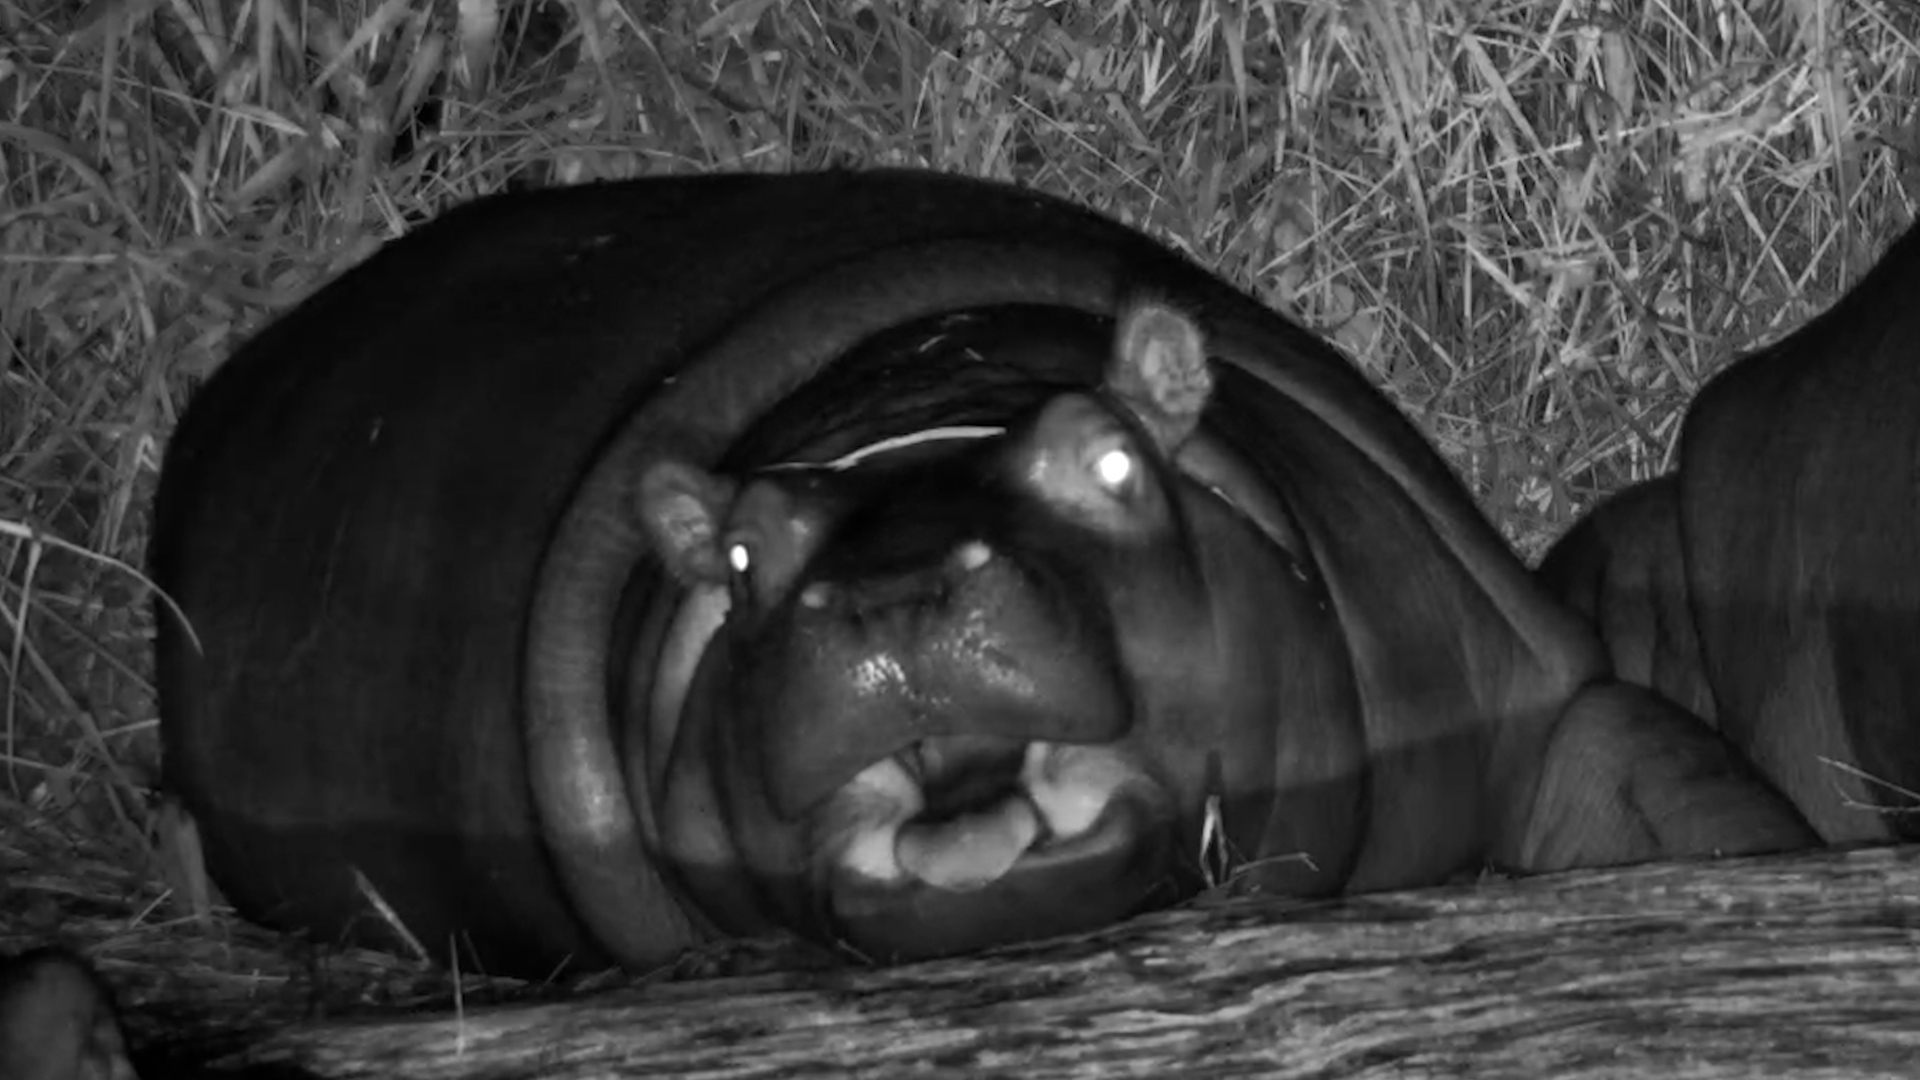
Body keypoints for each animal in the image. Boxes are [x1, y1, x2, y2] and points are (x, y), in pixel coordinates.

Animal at [143, 170, 1814, 979]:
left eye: (1115, 459)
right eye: (740, 553)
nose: (886, 601)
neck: (915, 410)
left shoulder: (1547, 701)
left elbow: (1677, 799)